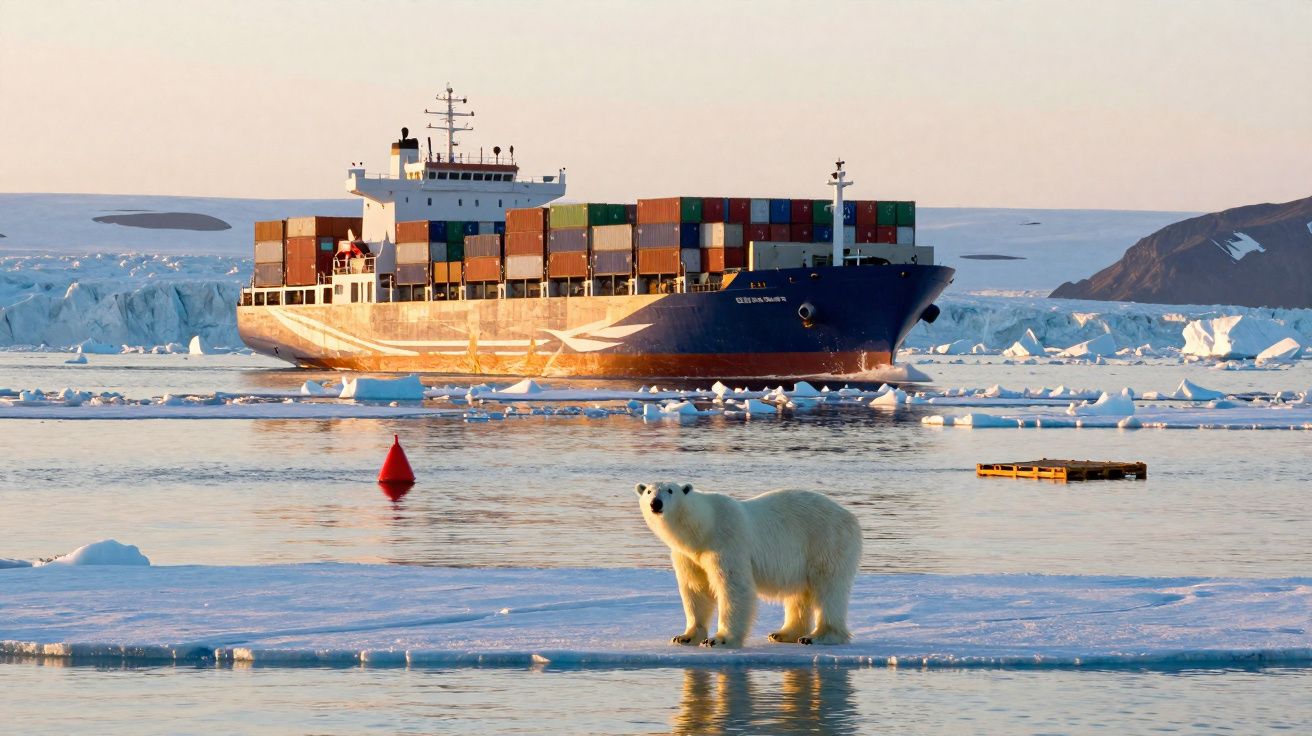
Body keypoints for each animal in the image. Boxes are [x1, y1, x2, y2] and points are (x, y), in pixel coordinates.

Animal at [634, 481, 862, 648]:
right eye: (648, 491)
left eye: (670, 490)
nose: (656, 503)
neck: (704, 528)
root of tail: (850, 516)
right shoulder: (688, 556)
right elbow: (695, 589)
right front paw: (684, 637)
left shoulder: (726, 541)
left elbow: (733, 587)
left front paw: (718, 639)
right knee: (799, 593)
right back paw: (783, 633)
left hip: (826, 541)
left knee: (828, 589)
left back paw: (816, 637)